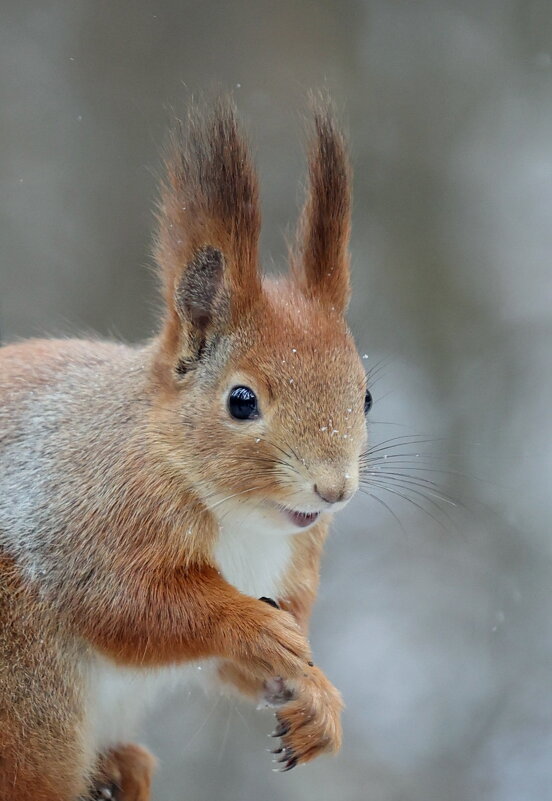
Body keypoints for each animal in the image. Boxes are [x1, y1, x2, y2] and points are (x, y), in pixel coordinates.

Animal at [0, 98, 370, 800]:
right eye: (241, 400)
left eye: (366, 396)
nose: (333, 491)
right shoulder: (84, 513)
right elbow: (125, 604)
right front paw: (253, 626)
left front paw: (319, 700)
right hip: (30, 693)